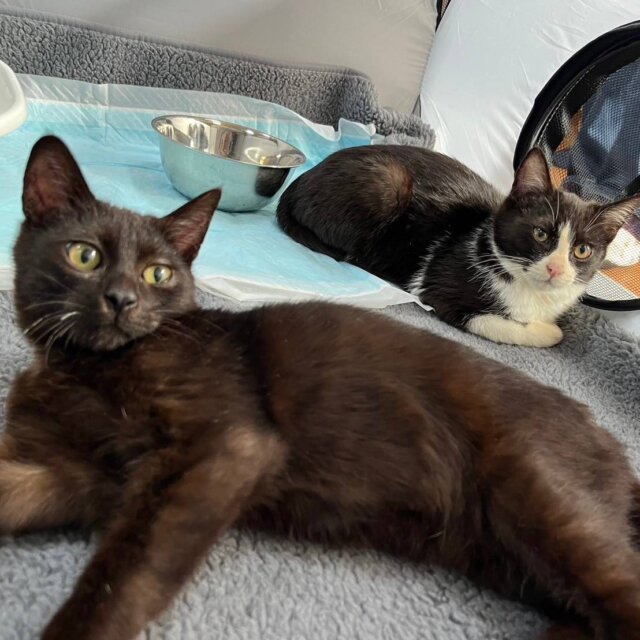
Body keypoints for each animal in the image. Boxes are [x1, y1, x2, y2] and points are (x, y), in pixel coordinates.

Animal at [276, 145, 640, 347]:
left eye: (582, 250)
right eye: (540, 234)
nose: (555, 269)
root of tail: (298, 183)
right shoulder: (438, 286)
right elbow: (494, 324)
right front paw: (547, 331)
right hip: (389, 182)